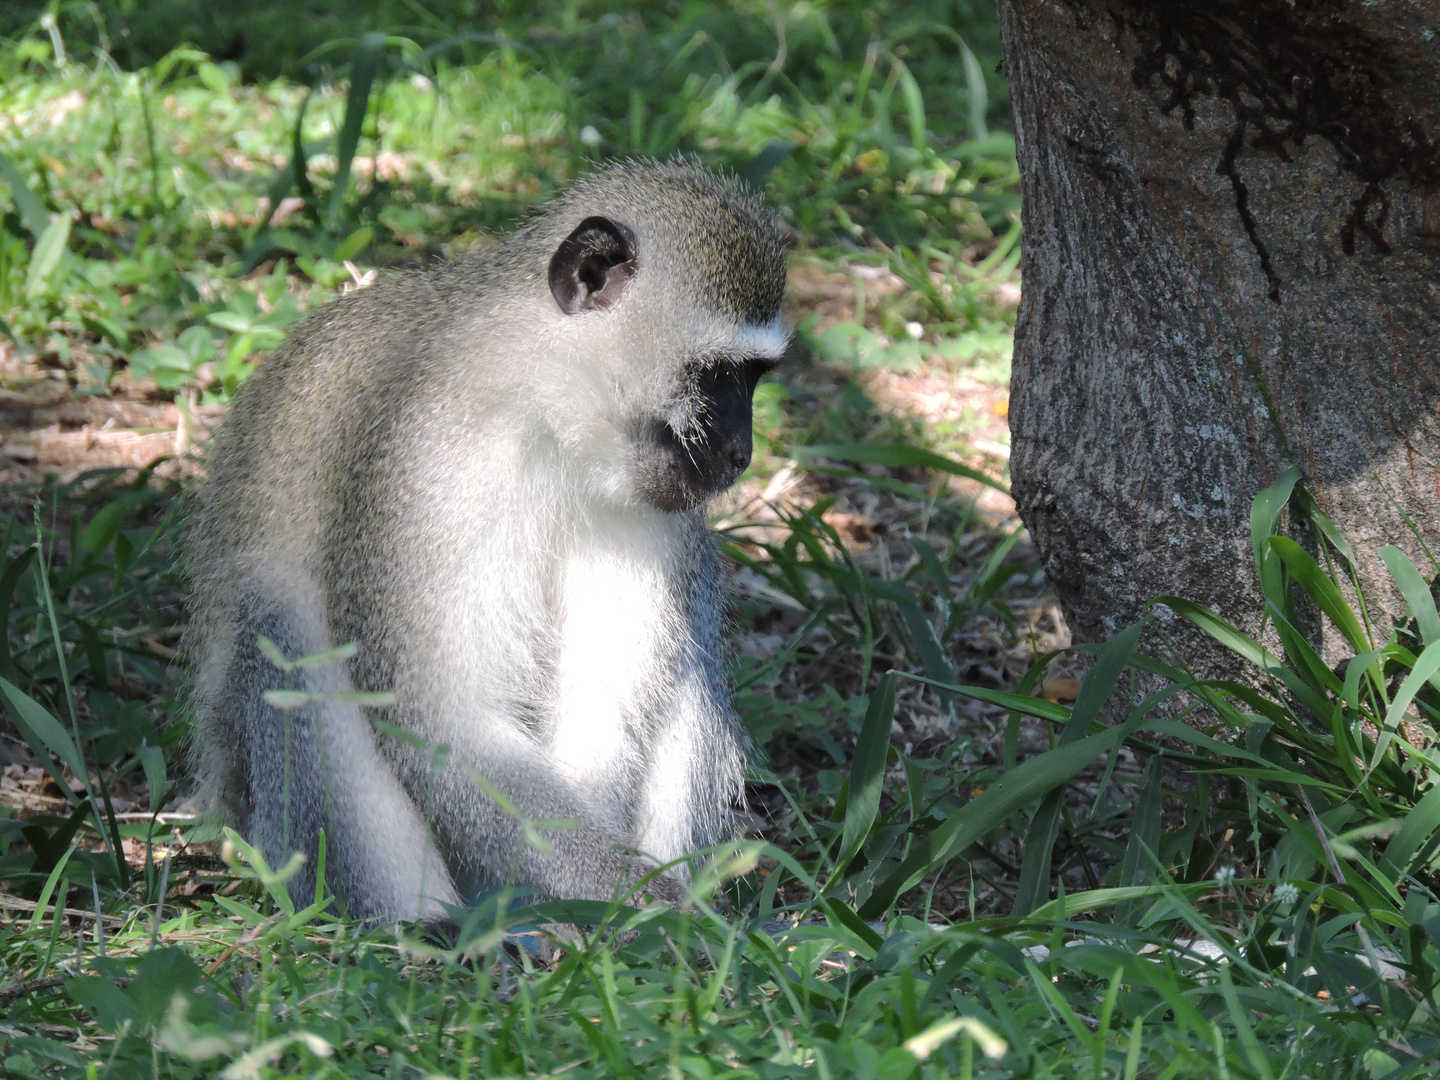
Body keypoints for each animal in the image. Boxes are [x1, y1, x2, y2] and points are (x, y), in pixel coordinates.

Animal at [182, 160, 789, 921]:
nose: (741, 453)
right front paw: (648, 909)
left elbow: (602, 708)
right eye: (719, 375)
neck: (540, 406)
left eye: (756, 377)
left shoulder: (645, 499)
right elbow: (442, 721)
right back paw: (425, 932)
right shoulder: (423, 457)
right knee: (282, 636)